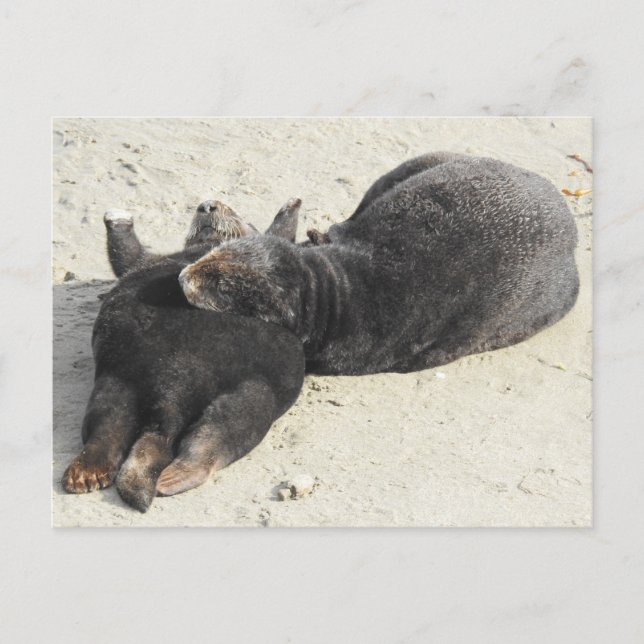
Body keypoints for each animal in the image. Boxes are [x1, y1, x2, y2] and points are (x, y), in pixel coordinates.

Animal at [62, 199, 304, 512]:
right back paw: (95, 474)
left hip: (248, 392)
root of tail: (172, 398)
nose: (208, 205)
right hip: (123, 379)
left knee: (210, 437)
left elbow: (126, 253)